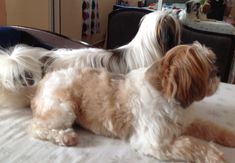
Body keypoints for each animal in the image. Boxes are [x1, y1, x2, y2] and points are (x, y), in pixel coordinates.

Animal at [28, 42, 235, 162]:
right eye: (207, 68)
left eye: (213, 61)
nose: (217, 72)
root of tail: (44, 80)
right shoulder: (155, 143)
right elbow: (191, 144)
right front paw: (214, 154)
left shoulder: (187, 122)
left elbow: (210, 127)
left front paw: (230, 137)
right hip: (63, 108)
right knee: (37, 128)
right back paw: (65, 136)